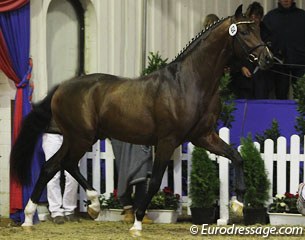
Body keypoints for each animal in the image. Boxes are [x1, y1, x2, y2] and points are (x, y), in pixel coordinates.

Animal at [10, 4, 270, 235]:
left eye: (258, 30)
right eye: (244, 32)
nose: (267, 59)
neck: (188, 82)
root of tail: (62, 87)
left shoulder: (203, 137)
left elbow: (237, 157)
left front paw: (238, 205)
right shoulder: (167, 140)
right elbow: (154, 182)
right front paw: (136, 224)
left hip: (78, 137)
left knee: (53, 166)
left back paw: (38, 216)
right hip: (80, 137)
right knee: (62, 164)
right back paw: (81, 206)